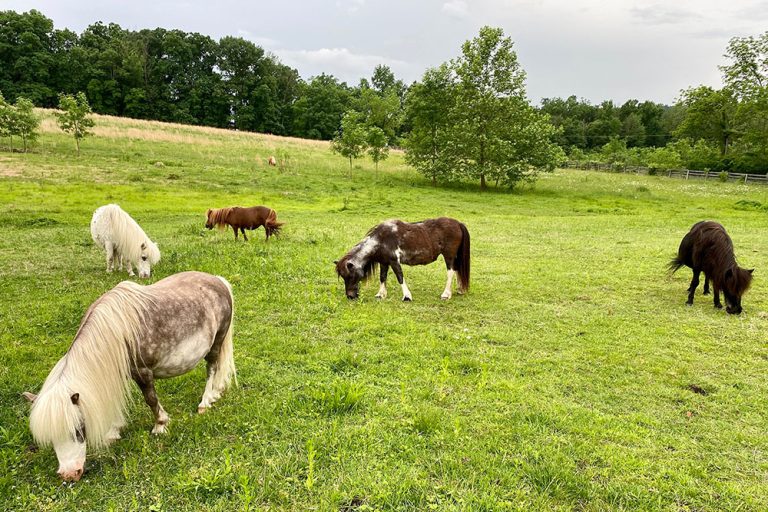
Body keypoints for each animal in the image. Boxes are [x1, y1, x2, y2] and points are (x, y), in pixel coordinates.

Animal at [24, 270, 237, 482]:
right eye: (51, 438)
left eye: (77, 430)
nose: (69, 474)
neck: (116, 332)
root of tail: (219, 281)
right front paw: (114, 431)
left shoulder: (143, 372)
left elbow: (151, 399)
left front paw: (160, 425)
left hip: (216, 342)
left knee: (212, 368)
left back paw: (205, 401)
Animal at [334, 217, 472, 300]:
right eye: (342, 277)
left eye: (349, 276)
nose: (350, 296)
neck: (380, 240)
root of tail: (458, 223)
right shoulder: (384, 262)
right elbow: (382, 277)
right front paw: (381, 294)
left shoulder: (394, 261)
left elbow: (400, 277)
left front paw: (407, 296)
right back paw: (460, 290)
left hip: (449, 256)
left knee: (451, 272)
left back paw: (446, 294)